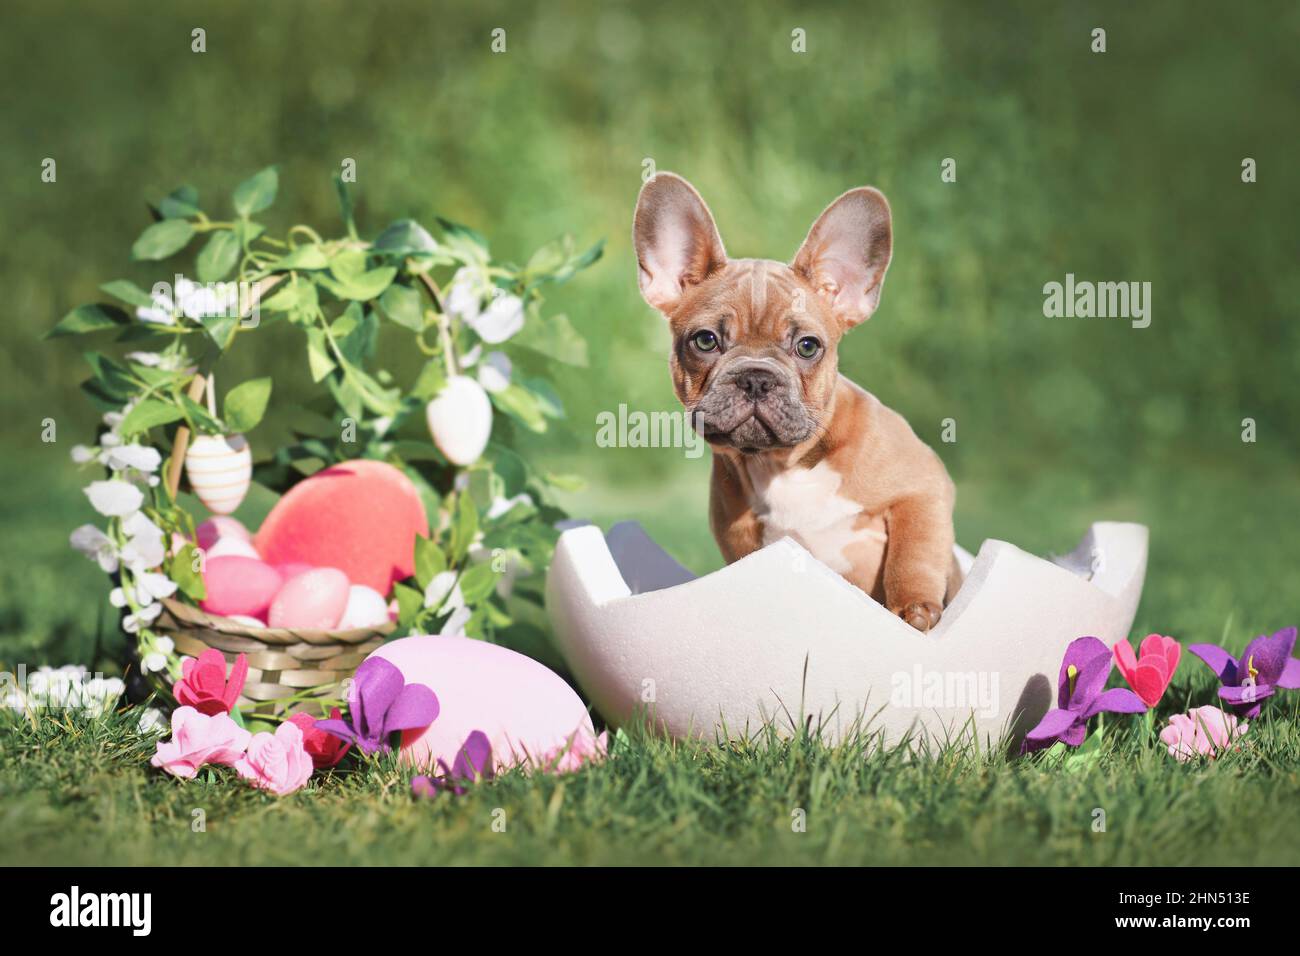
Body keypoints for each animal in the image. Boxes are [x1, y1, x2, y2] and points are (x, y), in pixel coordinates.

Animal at [634, 174, 961, 632]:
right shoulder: (742, 542)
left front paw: (913, 610)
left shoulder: (923, 486)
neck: (783, 464)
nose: (756, 377)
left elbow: (914, 551)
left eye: (808, 346)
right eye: (705, 341)